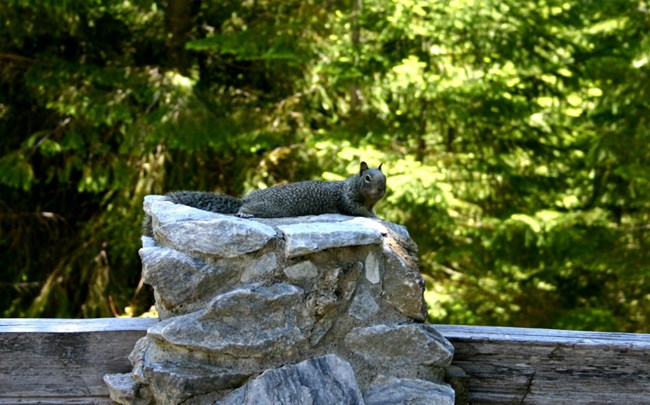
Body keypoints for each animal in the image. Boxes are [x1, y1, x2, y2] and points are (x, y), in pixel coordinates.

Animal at [163, 160, 384, 219]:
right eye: (367, 178)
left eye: (385, 178)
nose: (381, 190)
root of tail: (246, 199)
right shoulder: (347, 200)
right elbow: (358, 211)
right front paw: (376, 218)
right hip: (271, 208)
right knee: (245, 209)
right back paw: (244, 213)